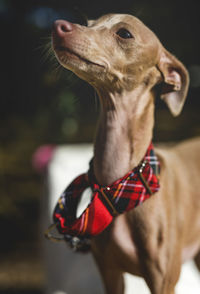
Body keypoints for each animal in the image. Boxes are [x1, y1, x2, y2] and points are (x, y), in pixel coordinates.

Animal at [51, 13, 200, 294]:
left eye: (125, 33)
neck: (120, 183)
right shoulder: (109, 272)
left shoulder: (163, 281)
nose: (58, 26)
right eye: (89, 22)